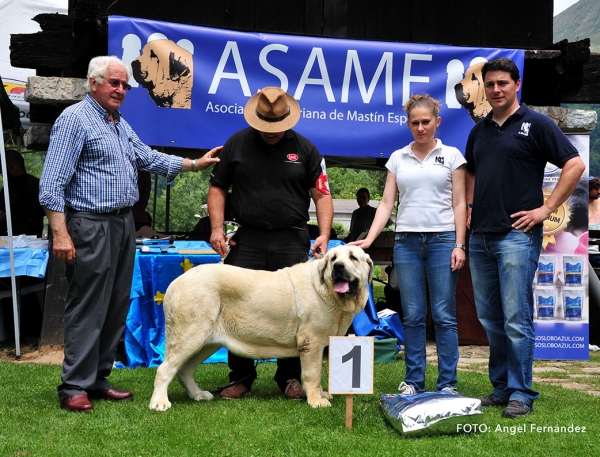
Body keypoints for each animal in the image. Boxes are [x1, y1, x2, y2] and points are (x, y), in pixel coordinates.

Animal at [149, 246, 372, 410]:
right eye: (333, 259)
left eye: (353, 257)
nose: (338, 267)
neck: (329, 291)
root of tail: (176, 283)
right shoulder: (313, 342)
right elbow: (313, 374)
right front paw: (316, 400)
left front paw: (321, 394)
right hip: (191, 334)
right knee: (165, 369)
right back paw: (159, 402)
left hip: (206, 341)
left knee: (184, 370)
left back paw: (198, 394)